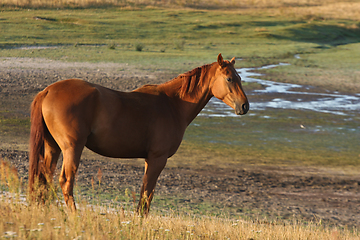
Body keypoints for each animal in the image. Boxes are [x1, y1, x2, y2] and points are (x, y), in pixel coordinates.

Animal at [28, 53, 249, 213]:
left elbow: (144, 193)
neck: (172, 104)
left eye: (240, 77)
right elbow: (147, 195)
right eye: (229, 78)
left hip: (53, 147)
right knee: (66, 182)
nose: (245, 106)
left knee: (44, 178)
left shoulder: (149, 159)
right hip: (72, 148)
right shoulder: (158, 159)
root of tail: (48, 90)